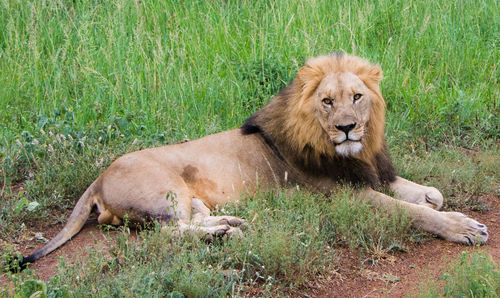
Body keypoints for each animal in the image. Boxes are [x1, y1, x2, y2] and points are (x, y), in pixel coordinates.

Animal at [16, 53, 488, 268]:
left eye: (357, 96)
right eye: (327, 102)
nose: (348, 128)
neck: (349, 153)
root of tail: (97, 178)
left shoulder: (367, 172)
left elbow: (421, 192)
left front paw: (436, 198)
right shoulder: (342, 195)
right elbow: (409, 211)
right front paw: (464, 227)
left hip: (188, 198)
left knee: (190, 222)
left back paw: (230, 225)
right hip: (164, 192)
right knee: (168, 233)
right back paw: (224, 235)